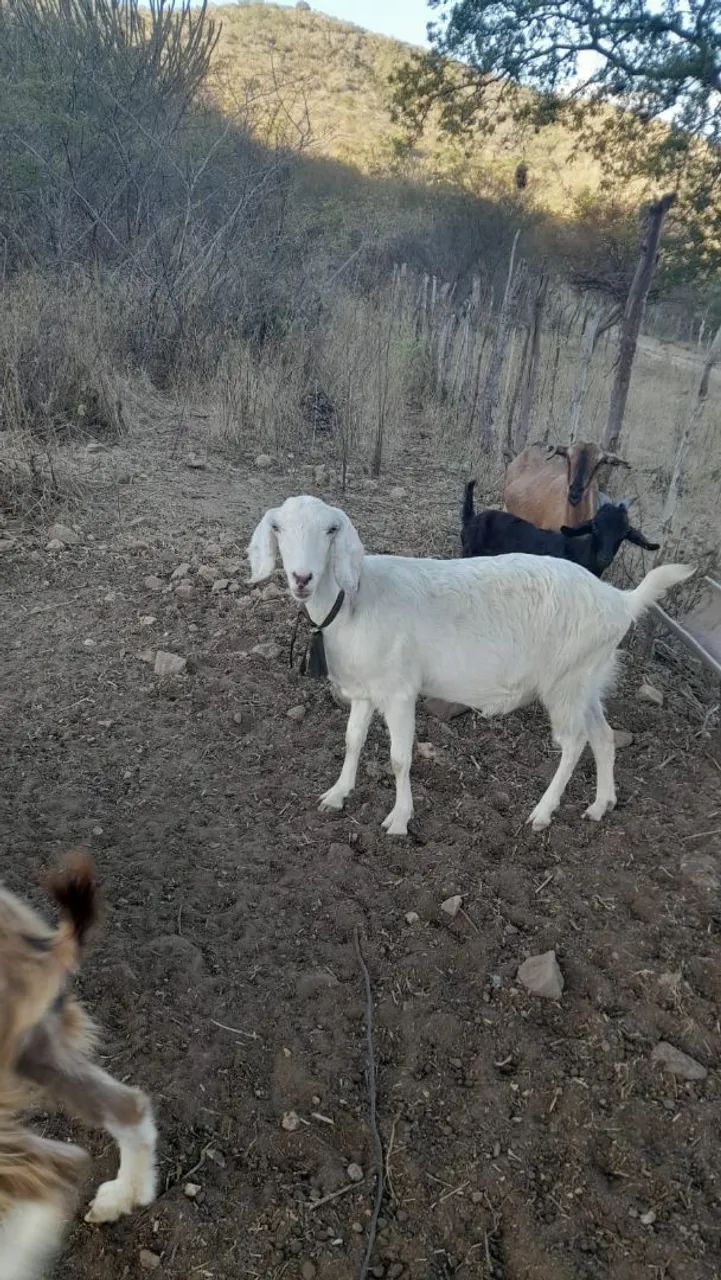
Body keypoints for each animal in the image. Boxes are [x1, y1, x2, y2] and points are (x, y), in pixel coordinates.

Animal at [247, 495, 692, 836]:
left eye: (330, 530)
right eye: (278, 528)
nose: (301, 578)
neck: (355, 600)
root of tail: (620, 600)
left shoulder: (400, 690)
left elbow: (399, 757)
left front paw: (399, 819)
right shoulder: (366, 688)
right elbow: (352, 739)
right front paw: (337, 794)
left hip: (565, 683)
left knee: (574, 743)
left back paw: (542, 813)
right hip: (587, 680)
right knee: (603, 736)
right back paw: (601, 804)